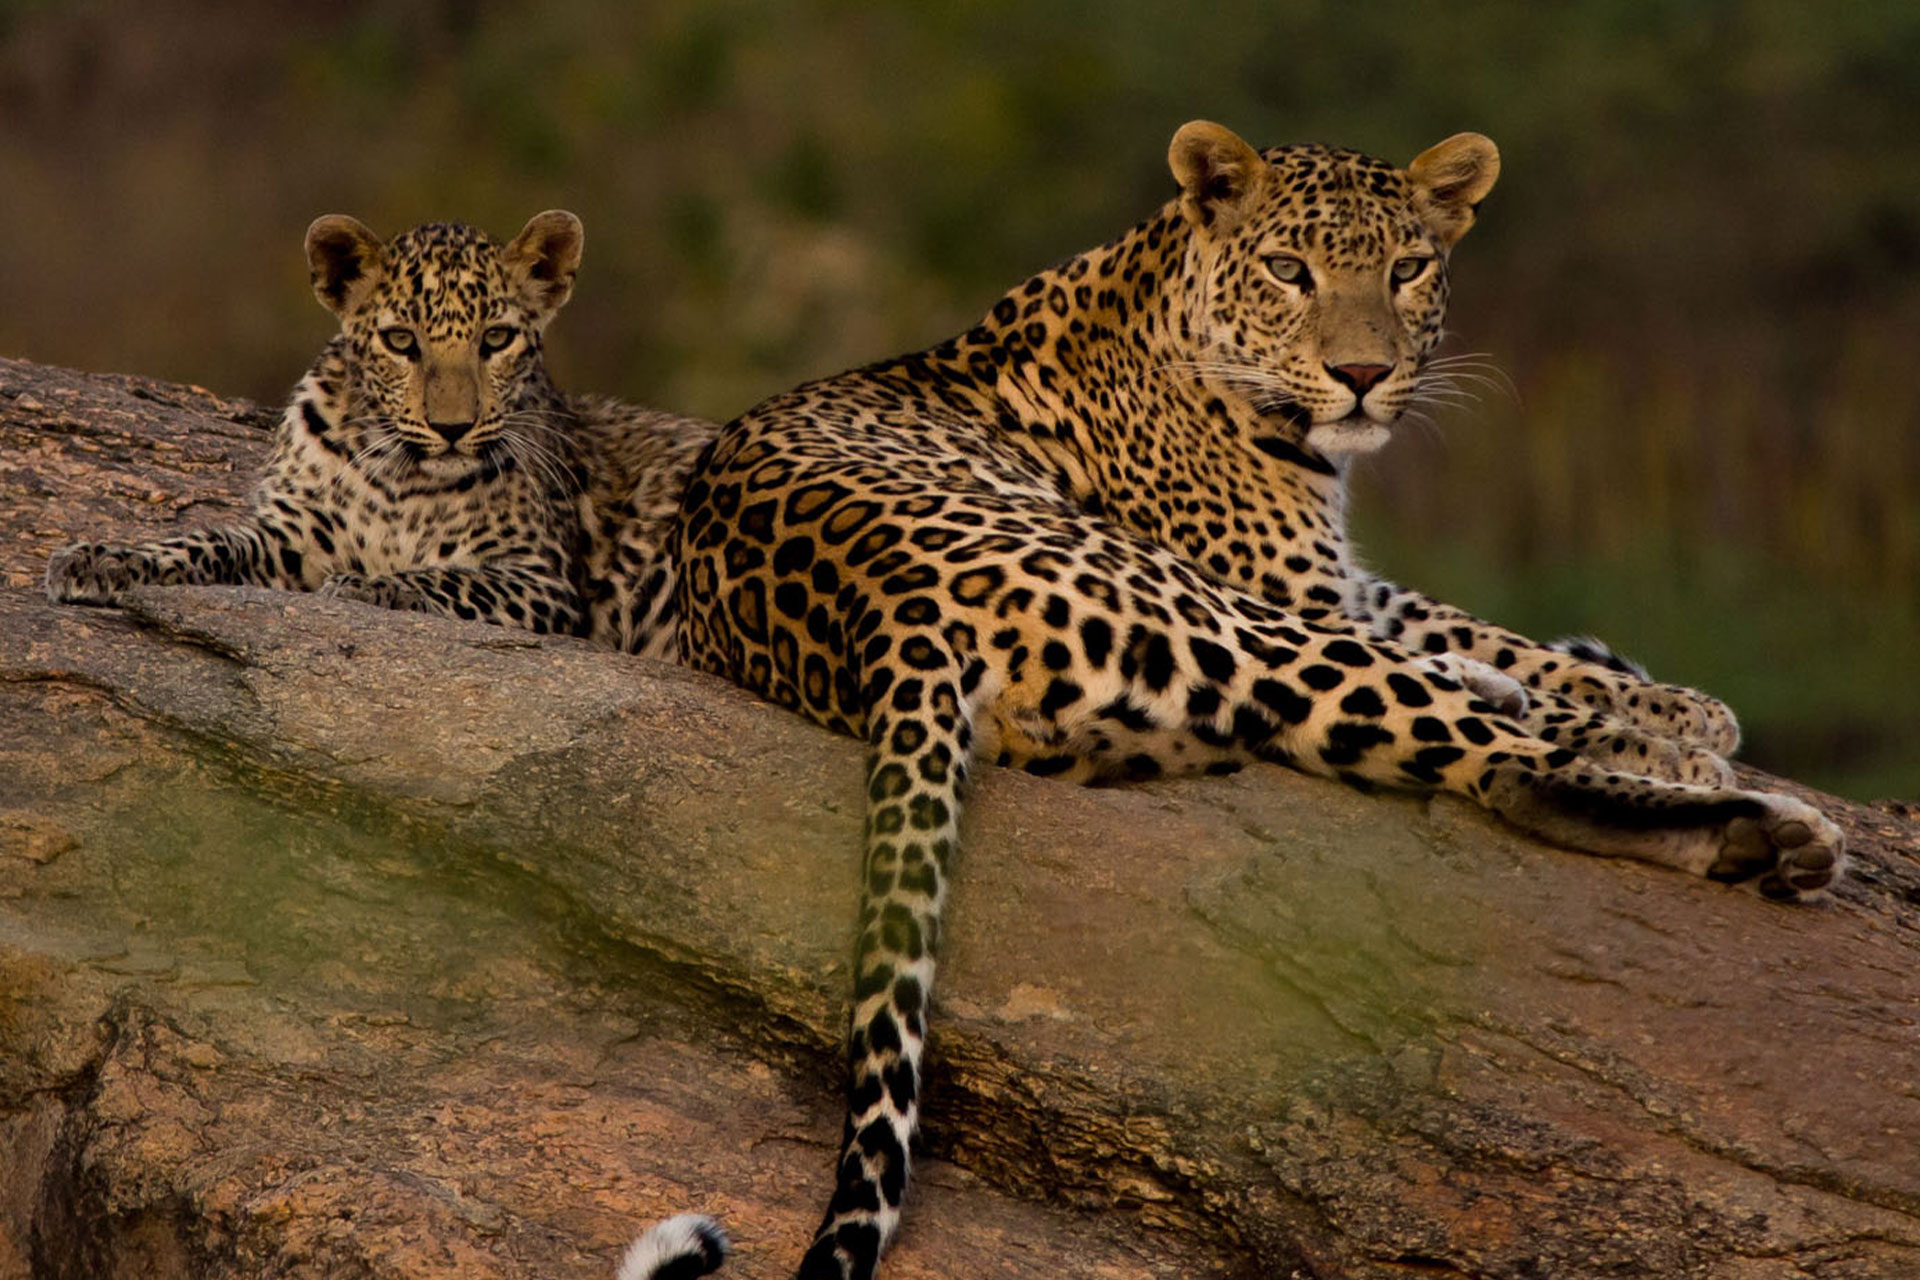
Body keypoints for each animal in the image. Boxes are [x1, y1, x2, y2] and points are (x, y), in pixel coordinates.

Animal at [44, 211, 715, 659]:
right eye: (400, 341)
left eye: (496, 339)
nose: (452, 428)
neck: (405, 478)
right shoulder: (292, 536)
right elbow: (205, 541)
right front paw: (103, 557)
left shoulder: (540, 579)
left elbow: (447, 578)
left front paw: (367, 585)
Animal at [620, 121, 1847, 1280]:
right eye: (1292, 272)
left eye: (1407, 268)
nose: (1361, 374)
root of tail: (886, 606)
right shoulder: (1288, 586)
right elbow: (1476, 656)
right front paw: (1675, 730)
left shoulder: (1340, 581)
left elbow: (1467, 623)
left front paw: (1663, 695)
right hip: (1205, 607)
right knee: (1501, 765)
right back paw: (1769, 831)